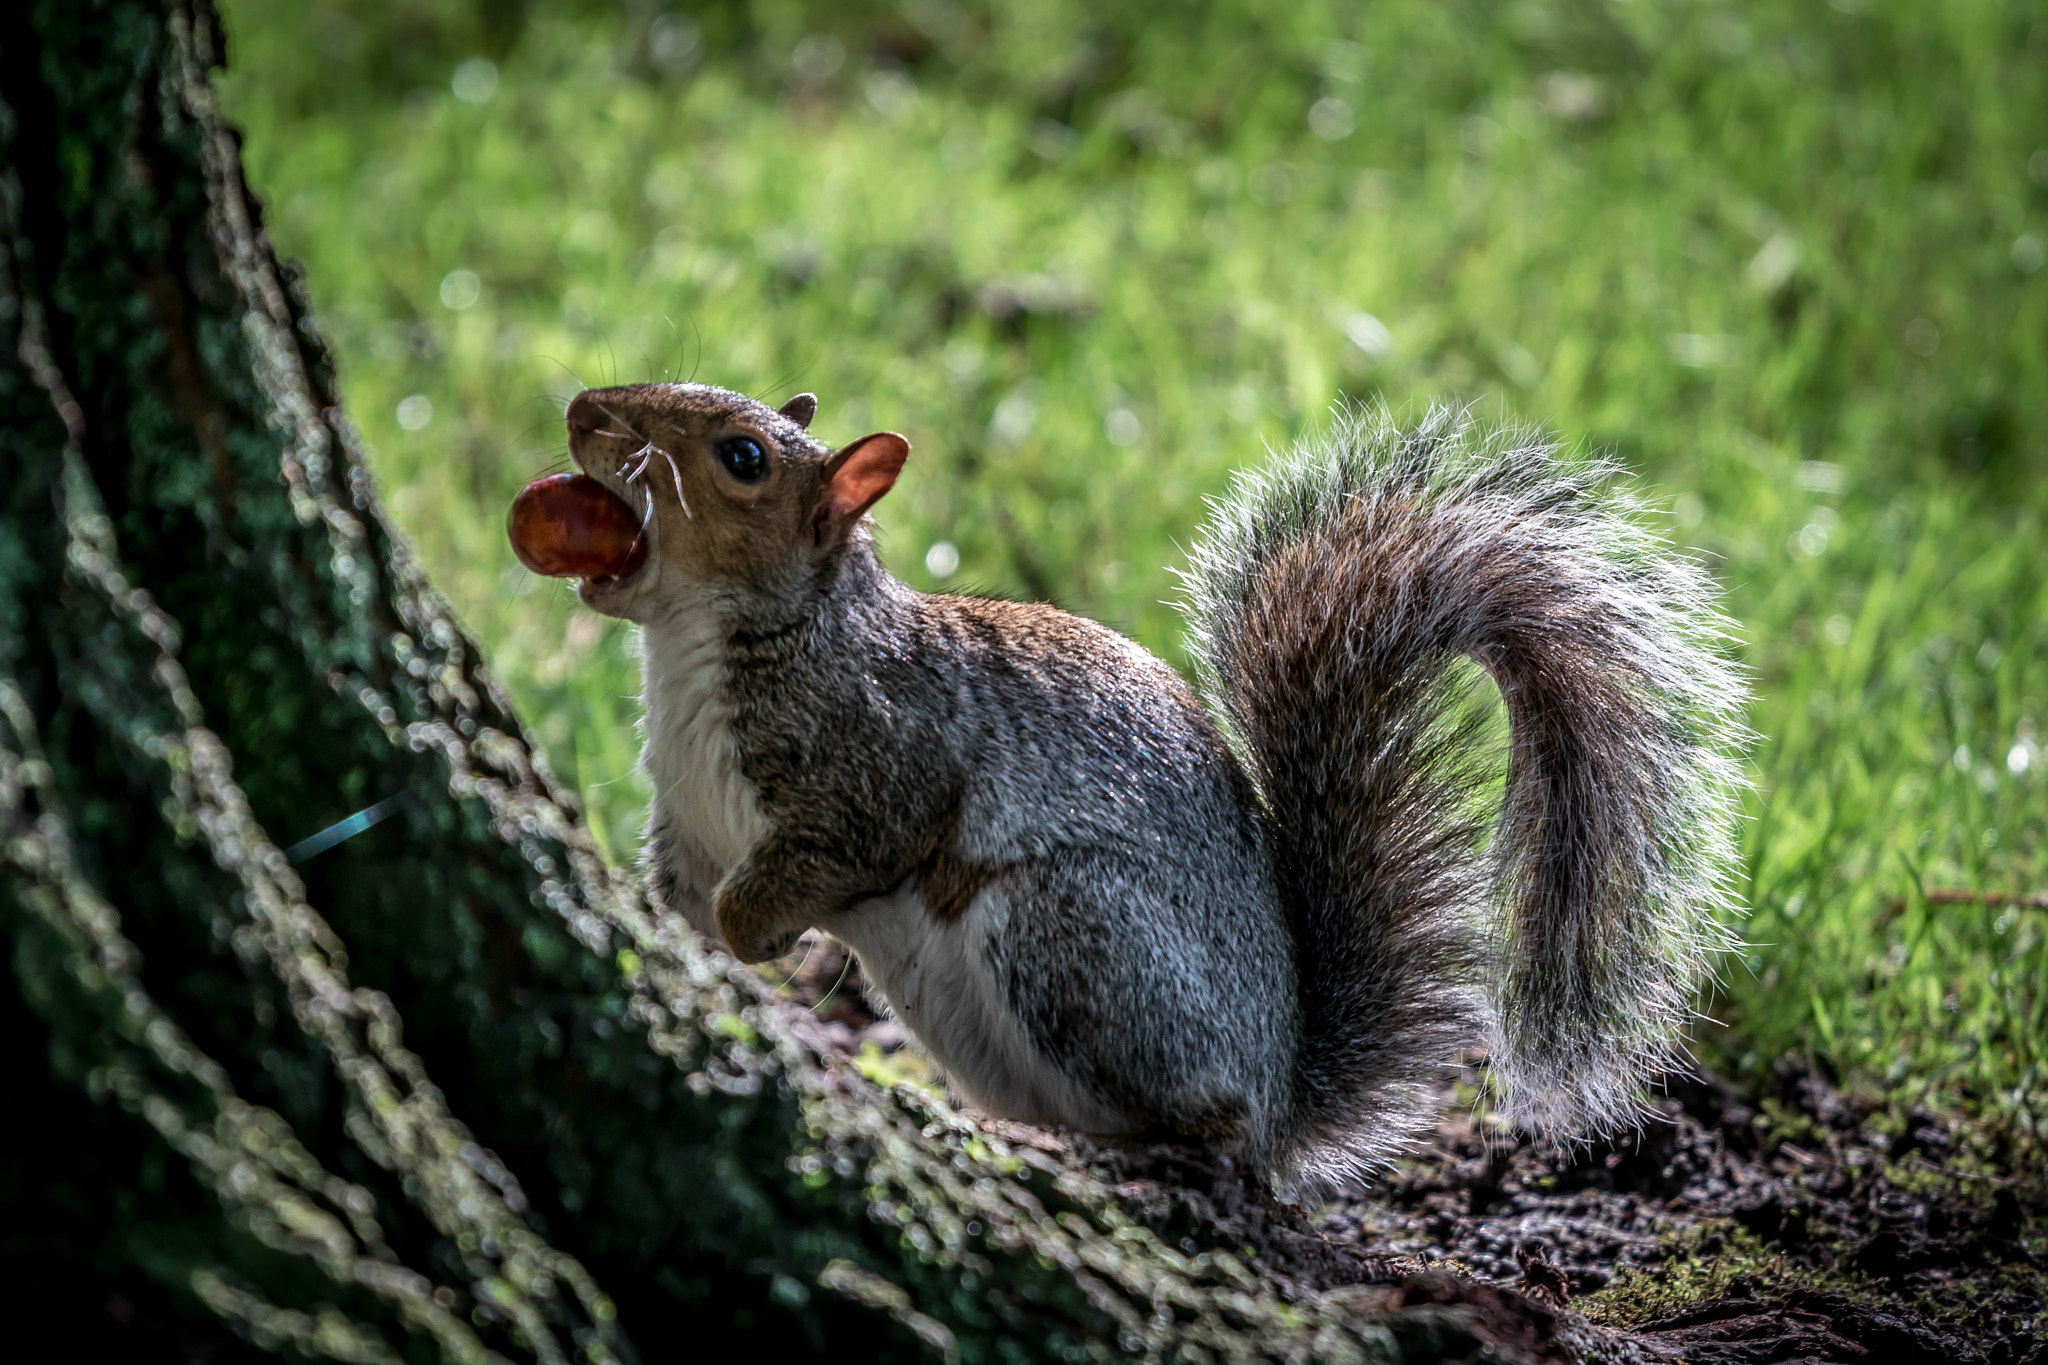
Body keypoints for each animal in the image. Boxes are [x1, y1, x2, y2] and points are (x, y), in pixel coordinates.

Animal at [557, 378, 1744, 1186]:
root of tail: (1278, 1092)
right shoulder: (687, 818)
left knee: (1205, 1126)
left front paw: (756, 936)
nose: (581, 410)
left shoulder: (881, 763)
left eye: (742, 456)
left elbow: (833, 855)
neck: (699, 649)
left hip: (1067, 929)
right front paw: (660, 940)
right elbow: (677, 895)